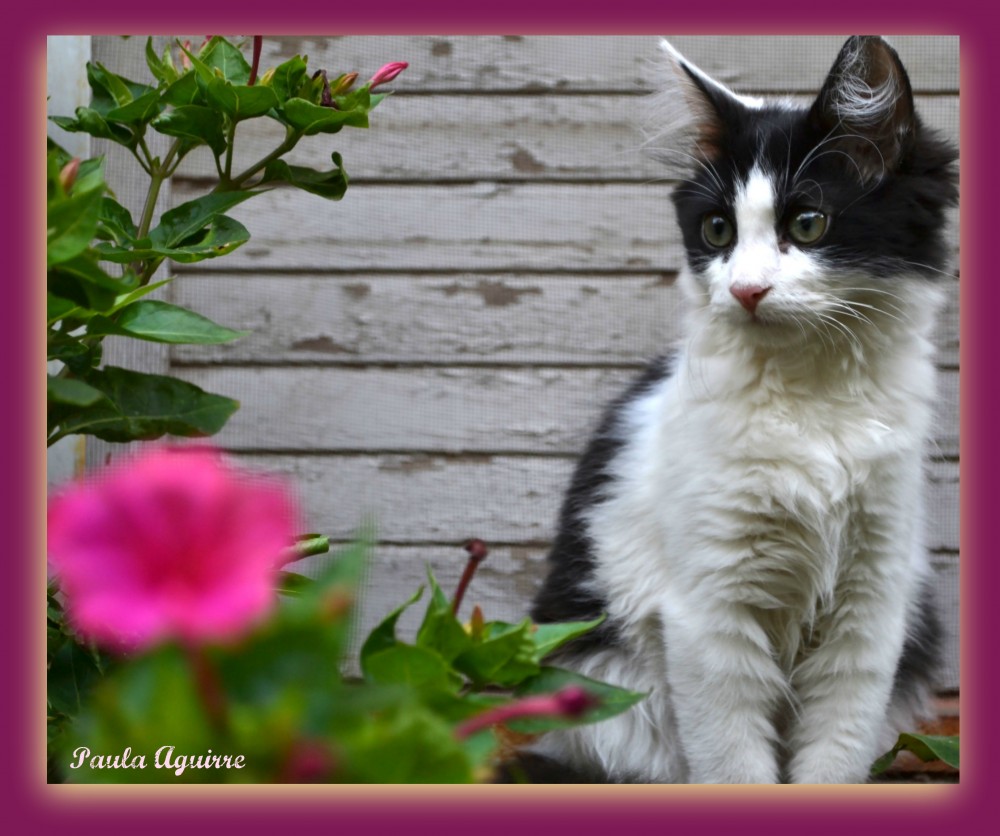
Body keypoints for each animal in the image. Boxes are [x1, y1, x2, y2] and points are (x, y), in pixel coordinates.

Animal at [512, 36, 956, 784]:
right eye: (717, 230)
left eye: (808, 223)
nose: (746, 290)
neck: (811, 395)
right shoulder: (708, 606)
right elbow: (732, 757)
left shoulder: (873, 597)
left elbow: (835, 751)